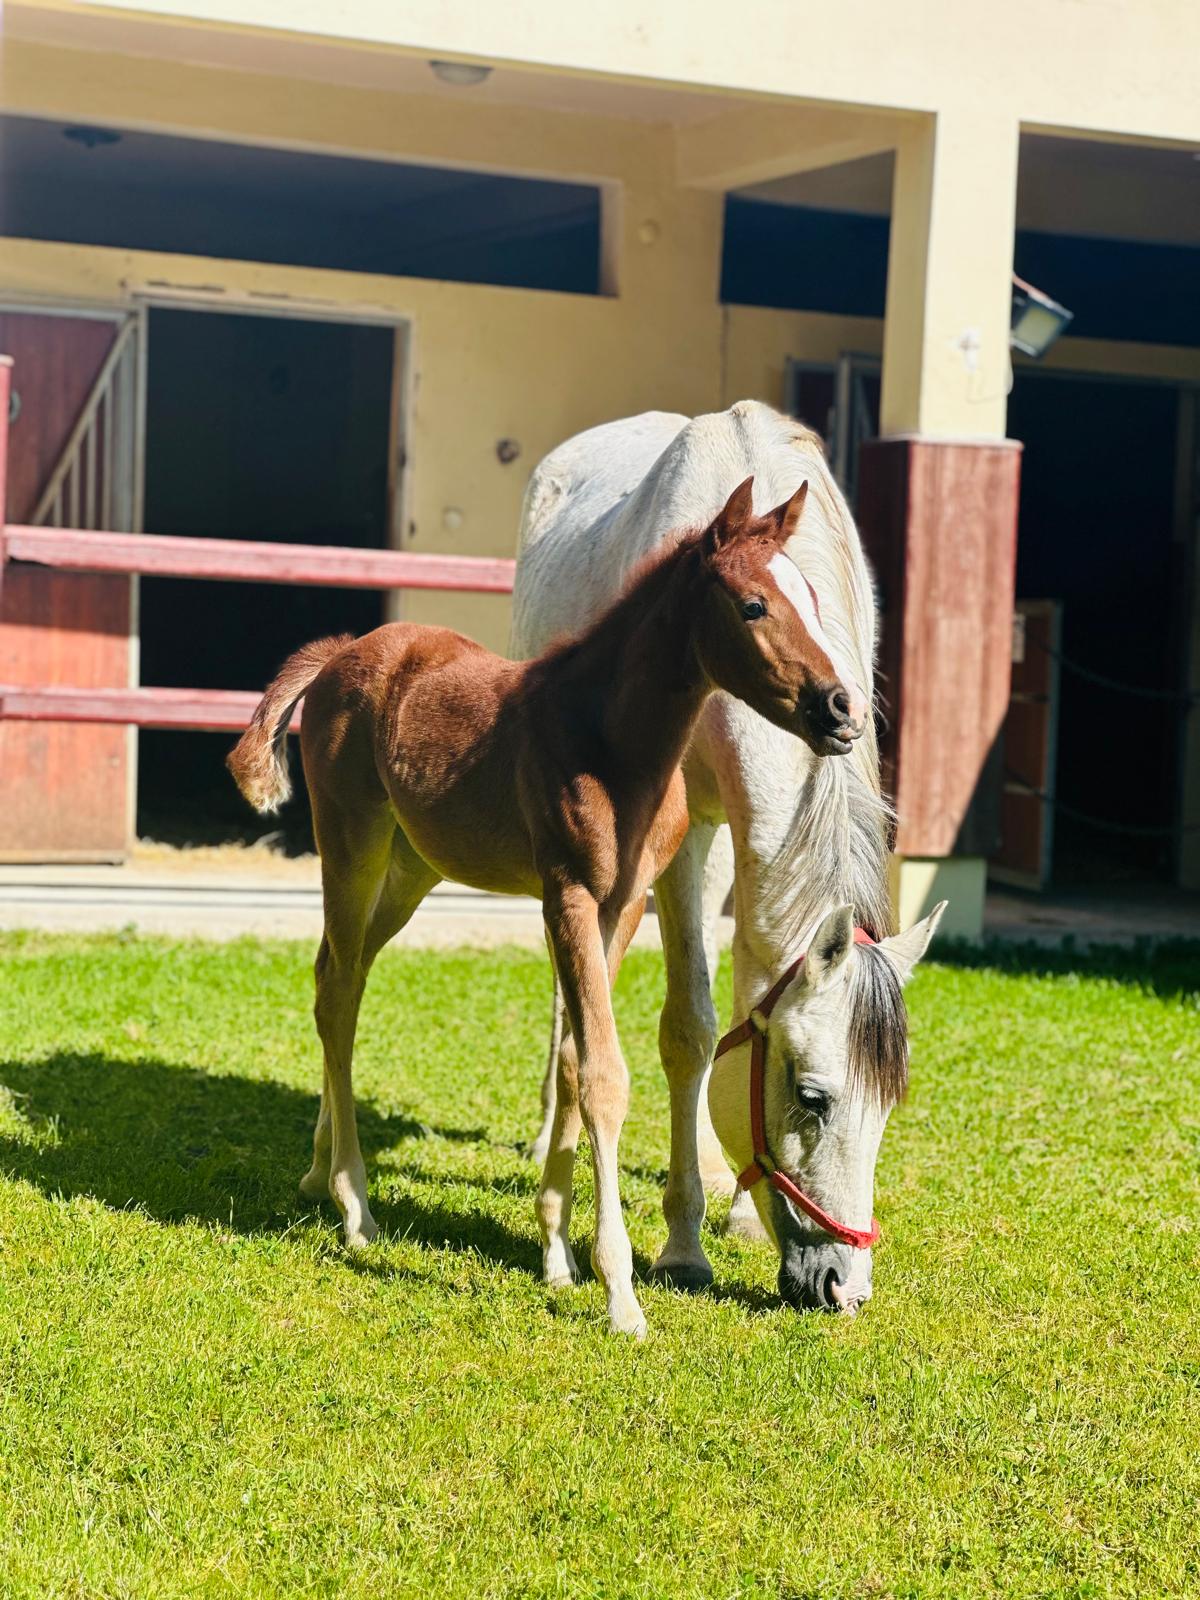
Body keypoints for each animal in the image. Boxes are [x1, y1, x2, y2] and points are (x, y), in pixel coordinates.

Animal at [227, 476, 864, 1337]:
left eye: (815, 600)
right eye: (754, 605)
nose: (840, 709)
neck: (608, 737)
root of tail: (342, 653)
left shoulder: (620, 905)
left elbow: (569, 1060)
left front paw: (558, 1255)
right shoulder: (567, 895)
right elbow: (602, 1075)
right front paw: (621, 1290)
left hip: (411, 868)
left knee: (339, 975)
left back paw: (319, 1170)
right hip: (352, 846)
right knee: (338, 995)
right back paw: (355, 1205)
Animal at [512, 403, 947, 1312]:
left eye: (890, 1104)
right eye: (813, 1097)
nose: (843, 1287)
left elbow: (743, 1006)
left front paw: (738, 1210)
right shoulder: (678, 842)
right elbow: (689, 1031)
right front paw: (681, 1243)